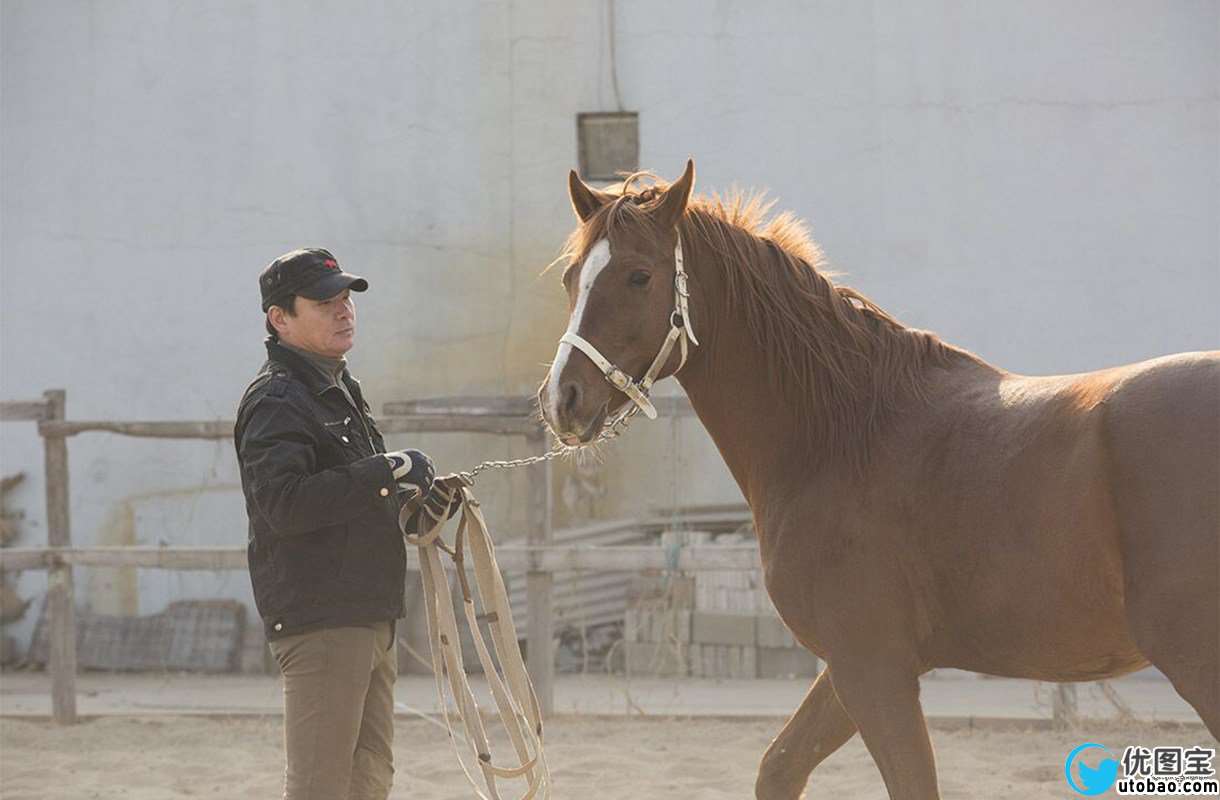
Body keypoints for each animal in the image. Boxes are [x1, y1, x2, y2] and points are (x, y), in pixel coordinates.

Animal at [536, 160, 1220, 800]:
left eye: (639, 275)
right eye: (572, 279)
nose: (561, 400)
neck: (843, 435)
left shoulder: (872, 669)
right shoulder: (852, 667)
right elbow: (778, 767)